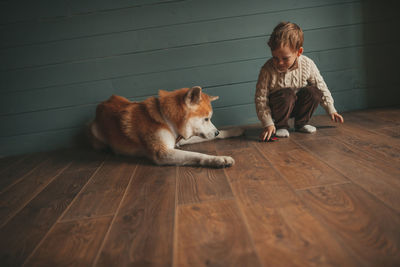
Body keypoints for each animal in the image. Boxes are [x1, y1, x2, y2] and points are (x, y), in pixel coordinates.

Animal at [89, 86, 245, 168]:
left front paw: (232, 131)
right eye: (206, 119)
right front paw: (219, 159)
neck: (166, 120)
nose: (216, 132)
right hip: (96, 133)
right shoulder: (163, 153)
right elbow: (197, 154)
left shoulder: (179, 139)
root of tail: (102, 104)